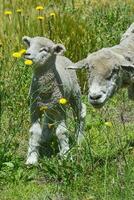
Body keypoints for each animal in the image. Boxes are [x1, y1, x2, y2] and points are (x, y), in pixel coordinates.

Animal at [22, 35, 86, 164]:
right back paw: (44, 138)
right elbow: (34, 131)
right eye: (30, 45)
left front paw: (66, 155)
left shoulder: (60, 108)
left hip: (74, 94)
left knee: (80, 113)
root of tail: (61, 56)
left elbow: (62, 131)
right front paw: (32, 159)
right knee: (49, 117)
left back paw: (79, 139)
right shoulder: (34, 107)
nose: (27, 54)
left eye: (44, 50)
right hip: (51, 105)